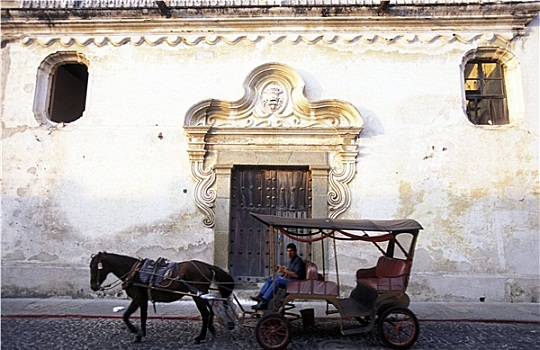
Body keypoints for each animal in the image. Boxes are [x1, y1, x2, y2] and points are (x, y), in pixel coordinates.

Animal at [89, 252, 235, 344]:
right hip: (201, 294)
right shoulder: (143, 299)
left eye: (95, 267)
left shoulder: (137, 298)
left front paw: (135, 331)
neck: (134, 271)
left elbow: (125, 316)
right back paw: (211, 329)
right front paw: (140, 335)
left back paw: (200, 337)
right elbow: (143, 316)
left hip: (197, 295)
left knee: (205, 313)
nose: (93, 287)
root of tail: (208, 266)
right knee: (210, 310)